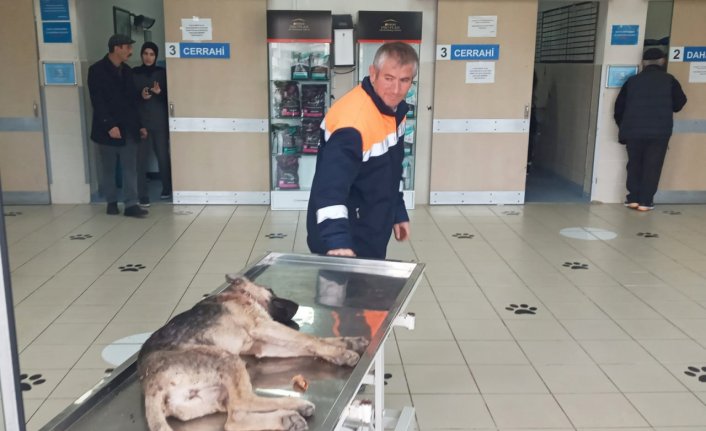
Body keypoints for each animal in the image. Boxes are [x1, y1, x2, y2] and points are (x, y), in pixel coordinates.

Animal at [138, 276, 368, 431]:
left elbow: (314, 342)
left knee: (234, 419)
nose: (297, 306)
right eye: (271, 290)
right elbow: (309, 339)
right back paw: (294, 407)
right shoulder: (264, 326)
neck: (237, 294)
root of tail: (149, 387)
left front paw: (348, 343)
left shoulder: (263, 345)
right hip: (227, 358)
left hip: (216, 394)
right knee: (242, 404)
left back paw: (286, 418)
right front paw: (342, 353)